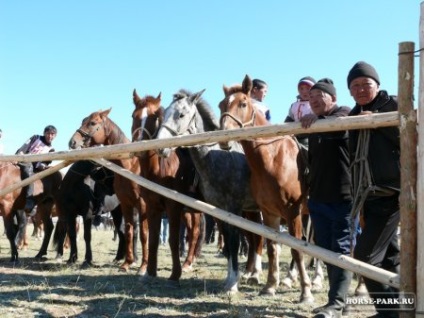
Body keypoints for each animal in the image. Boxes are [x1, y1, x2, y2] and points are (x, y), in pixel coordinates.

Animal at [68, 109, 149, 274]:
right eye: (83, 120)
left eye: (92, 123)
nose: (73, 141)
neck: (130, 167)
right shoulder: (126, 204)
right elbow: (128, 231)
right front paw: (126, 263)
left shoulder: (141, 205)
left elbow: (143, 234)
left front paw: (143, 267)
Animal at [133, 88, 205, 280]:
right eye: (134, 116)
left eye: (154, 118)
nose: (140, 148)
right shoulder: (152, 207)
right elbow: (152, 239)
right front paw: (150, 271)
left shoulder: (173, 207)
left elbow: (173, 239)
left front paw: (175, 273)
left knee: (194, 233)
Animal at [220, 75, 314, 304]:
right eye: (221, 105)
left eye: (243, 103)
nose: (224, 136)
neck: (273, 157)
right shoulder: (269, 213)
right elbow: (272, 248)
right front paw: (270, 286)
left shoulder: (293, 212)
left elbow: (297, 250)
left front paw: (306, 292)